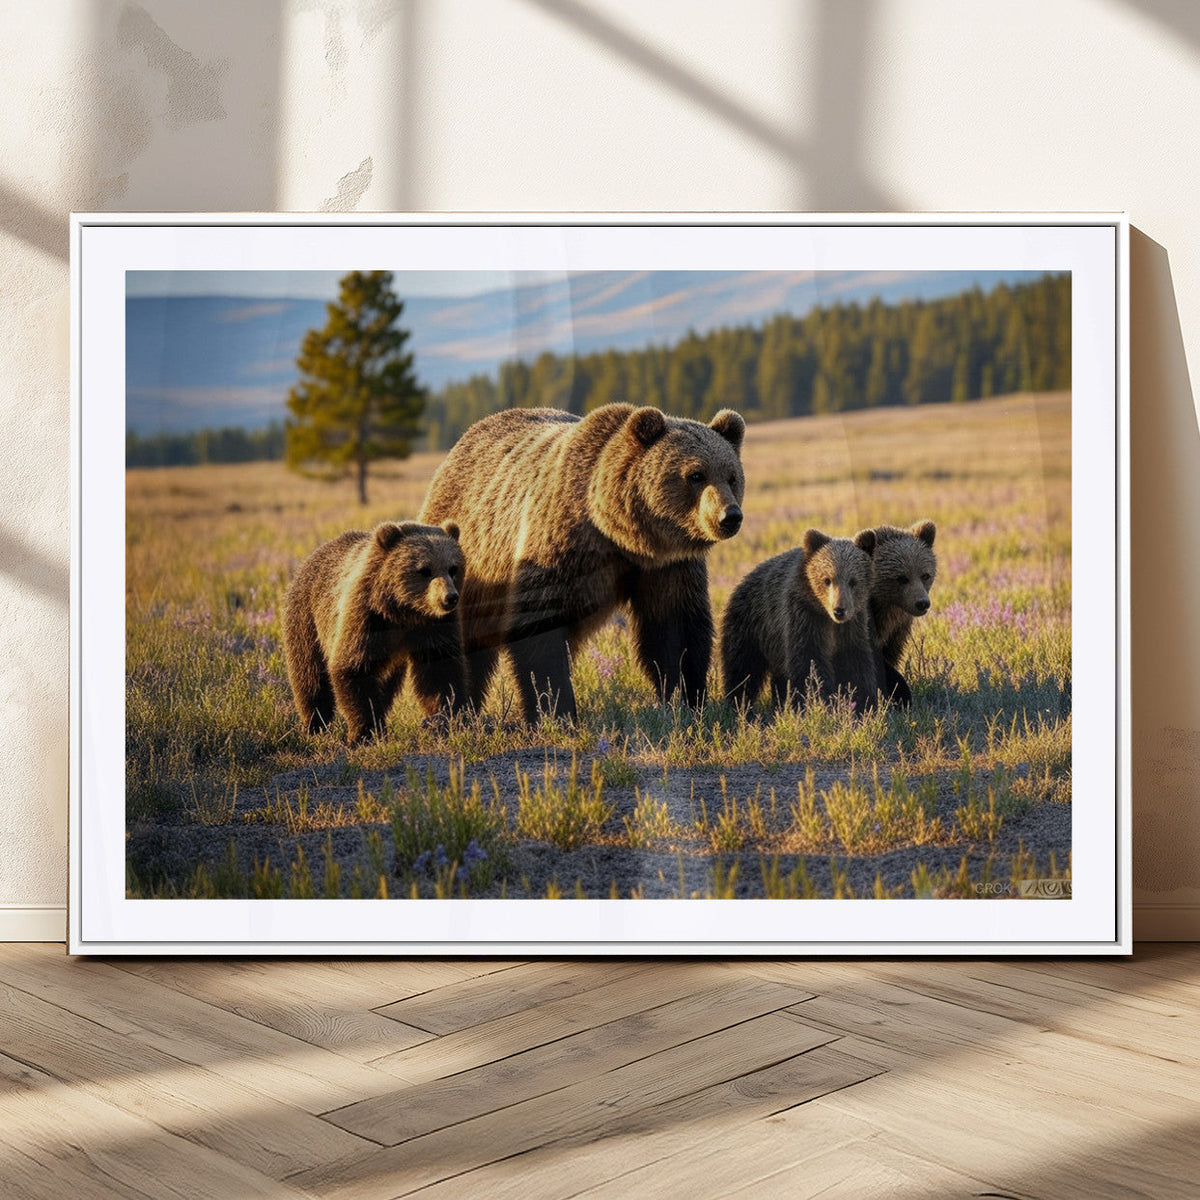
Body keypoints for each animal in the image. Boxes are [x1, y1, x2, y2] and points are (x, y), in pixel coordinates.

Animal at [282, 521, 466, 745]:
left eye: (453, 568)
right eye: (424, 570)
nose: (449, 597)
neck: (404, 612)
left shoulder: (435, 626)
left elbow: (440, 670)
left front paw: (447, 718)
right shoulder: (366, 616)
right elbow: (353, 667)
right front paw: (364, 732)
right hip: (307, 619)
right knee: (309, 675)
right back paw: (315, 725)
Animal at [418, 403, 746, 723]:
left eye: (732, 476)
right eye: (696, 475)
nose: (730, 516)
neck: (618, 533)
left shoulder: (666, 566)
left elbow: (674, 629)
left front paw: (687, 701)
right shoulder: (558, 544)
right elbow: (540, 629)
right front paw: (554, 710)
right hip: (462, 566)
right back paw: (450, 711)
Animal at [720, 527, 878, 712]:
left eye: (853, 581)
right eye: (827, 579)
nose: (839, 610)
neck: (826, 617)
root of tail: (744, 578)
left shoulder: (852, 627)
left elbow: (855, 664)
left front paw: (864, 702)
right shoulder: (803, 617)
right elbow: (809, 663)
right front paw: (817, 701)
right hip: (751, 624)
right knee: (742, 666)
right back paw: (739, 702)